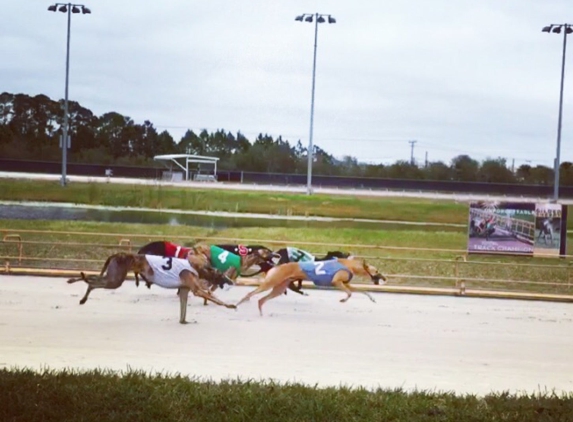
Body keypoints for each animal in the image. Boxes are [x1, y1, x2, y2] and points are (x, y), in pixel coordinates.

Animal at [66, 252, 235, 324]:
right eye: (222, 274)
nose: (232, 281)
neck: (198, 267)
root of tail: (117, 254)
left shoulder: (184, 290)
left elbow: (183, 310)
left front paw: (184, 321)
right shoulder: (196, 290)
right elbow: (213, 297)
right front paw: (230, 305)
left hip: (112, 277)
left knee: (91, 278)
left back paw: (73, 281)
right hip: (114, 280)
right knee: (92, 282)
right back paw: (82, 297)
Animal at [235, 258, 386, 316]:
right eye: (377, 271)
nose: (384, 278)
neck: (350, 265)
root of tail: (277, 266)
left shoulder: (346, 284)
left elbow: (362, 290)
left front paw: (372, 298)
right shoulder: (337, 282)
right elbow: (349, 293)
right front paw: (343, 300)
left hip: (279, 288)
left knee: (261, 300)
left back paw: (261, 312)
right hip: (270, 283)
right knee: (250, 294)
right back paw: (237, 304)